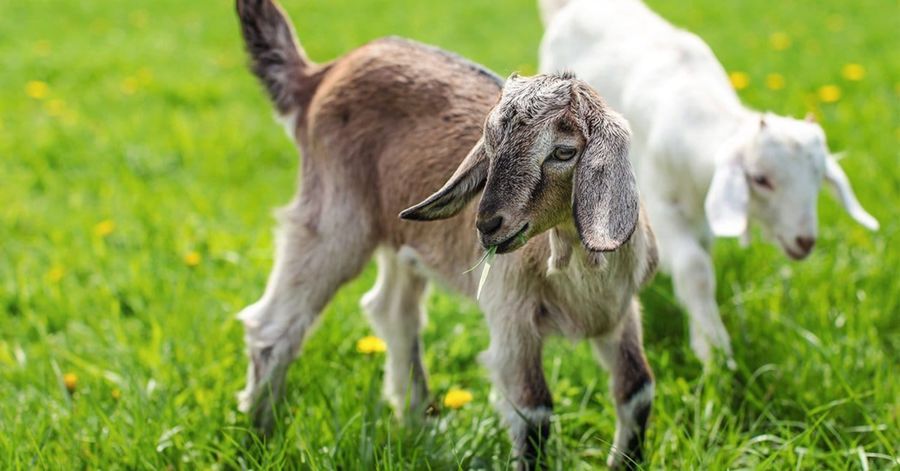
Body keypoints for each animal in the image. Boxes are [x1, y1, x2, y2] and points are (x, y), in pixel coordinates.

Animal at [235, 0, 658, 468]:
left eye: (564, 152)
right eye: (490, 144)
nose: (487, 224)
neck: (576, 274)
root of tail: (322, 74)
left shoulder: (621, 312)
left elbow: (638, 390)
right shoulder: (510, 317)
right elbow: (534, 412)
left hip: (400, 239)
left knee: (392, 311)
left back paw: (417, 422)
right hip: (334, 217)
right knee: (271, 327)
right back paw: (260, 436)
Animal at [539, 0, 879, 363]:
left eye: (817, 180)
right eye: (760, 179)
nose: (804, 242)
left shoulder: (703, 214)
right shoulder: (660, 202)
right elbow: (694, 268)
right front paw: (713, 350)